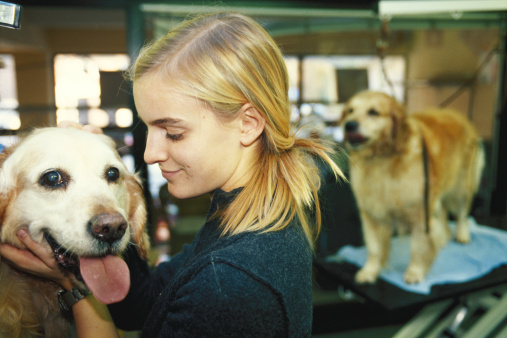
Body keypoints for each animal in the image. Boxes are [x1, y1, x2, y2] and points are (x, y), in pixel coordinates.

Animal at [342, 91, 484, 284]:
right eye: (350, 110)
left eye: (373, 112)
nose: (349, 125)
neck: (384, 158)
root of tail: (458, 114)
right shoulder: (372, 214)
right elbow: (375, 247)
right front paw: (370, 271)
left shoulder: (420, 214)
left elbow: (419, 246)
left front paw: (415, 271)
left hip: (462, 186)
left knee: (462, 213)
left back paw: (462, 234)